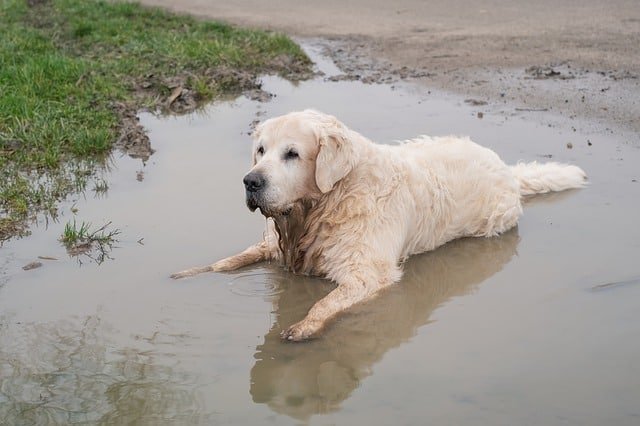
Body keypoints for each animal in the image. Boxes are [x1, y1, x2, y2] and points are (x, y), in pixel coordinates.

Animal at [172, 110, 588, 342]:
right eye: (260, 150)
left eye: (292, 153)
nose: (250, 181)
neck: (324, 205)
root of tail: (507, 169)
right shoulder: (274, 245)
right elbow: (228, 261)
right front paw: (190, 273)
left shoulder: (367, 272)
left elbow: (326, 301)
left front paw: (304, 325)